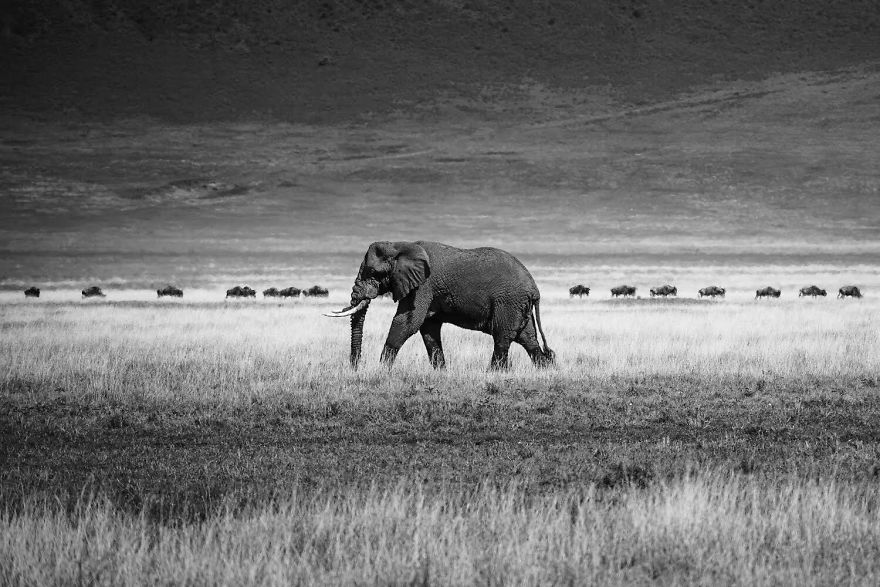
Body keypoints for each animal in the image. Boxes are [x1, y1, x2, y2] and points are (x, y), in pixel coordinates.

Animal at [324, 241, 554, 370]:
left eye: (373, 272)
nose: (356, 368)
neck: (400, 245)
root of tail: (534, 288)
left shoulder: (423, 285)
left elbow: (407, 322)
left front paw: (382, 371)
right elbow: (428, 328)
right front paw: (441, 373)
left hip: (508, 302)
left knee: (503, 337)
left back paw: (494, 373)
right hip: (518, 305)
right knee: (528, 339)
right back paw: (544, 370)